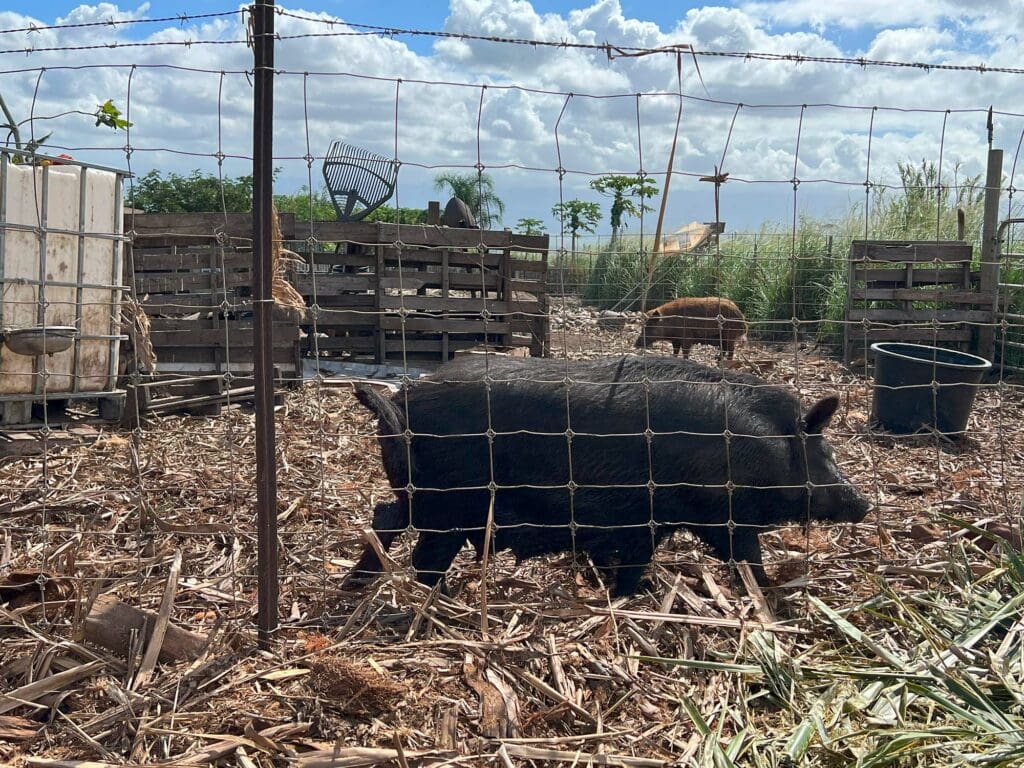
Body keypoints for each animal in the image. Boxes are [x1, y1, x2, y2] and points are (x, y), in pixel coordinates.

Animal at [350, 354, 864, 593]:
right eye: (825, 451)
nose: (863, 502)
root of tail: (400, 399)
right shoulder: (717, 516)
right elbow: (745, 558)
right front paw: (768, 592)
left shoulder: (650, 520)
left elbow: (629, 561)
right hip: (450, 505)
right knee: (423, 558)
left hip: (426, 502)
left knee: (382, 517)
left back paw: (357, 583)